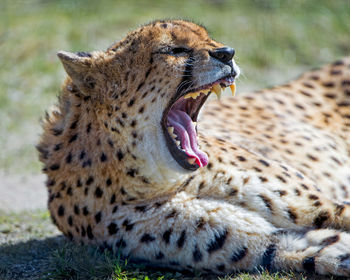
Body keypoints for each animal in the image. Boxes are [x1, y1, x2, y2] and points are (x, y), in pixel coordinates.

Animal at [37, 19, 350, 276]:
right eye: (174, 50)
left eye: (208, 38)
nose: (227, 53)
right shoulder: (277, 244)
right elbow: (329, 250)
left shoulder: (323, 207)